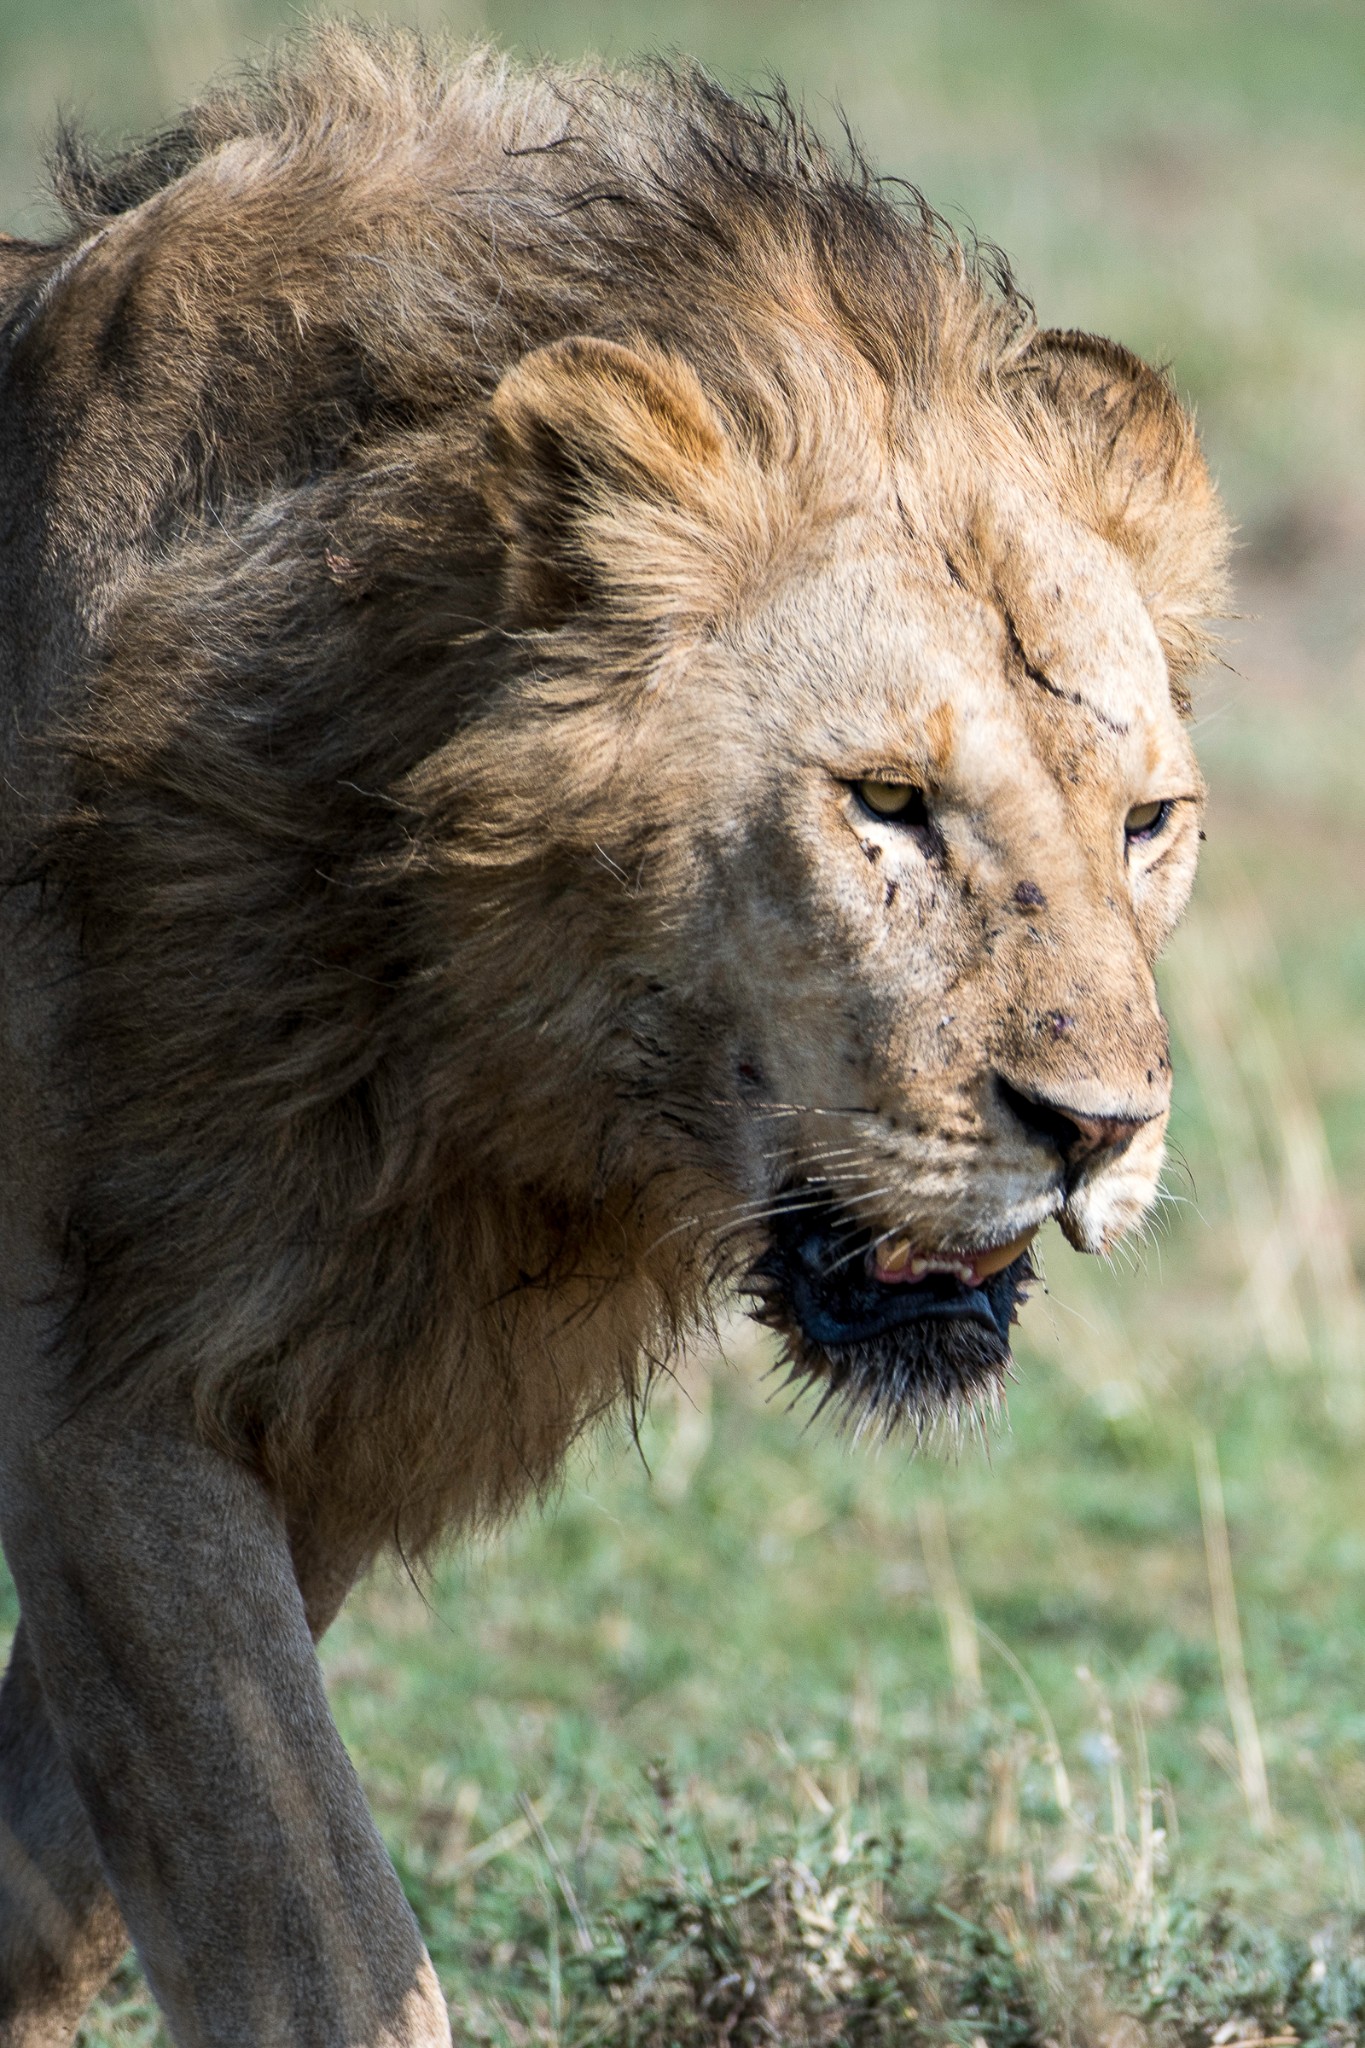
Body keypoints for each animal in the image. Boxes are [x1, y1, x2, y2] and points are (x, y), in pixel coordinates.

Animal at [0, 28, 1227, 2048]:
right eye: (886, 802)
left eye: (1145, 823)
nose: (1101, 1129)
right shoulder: (94, 1377)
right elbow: (305, 1921)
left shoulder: (329, 1407)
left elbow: (55, 1871)